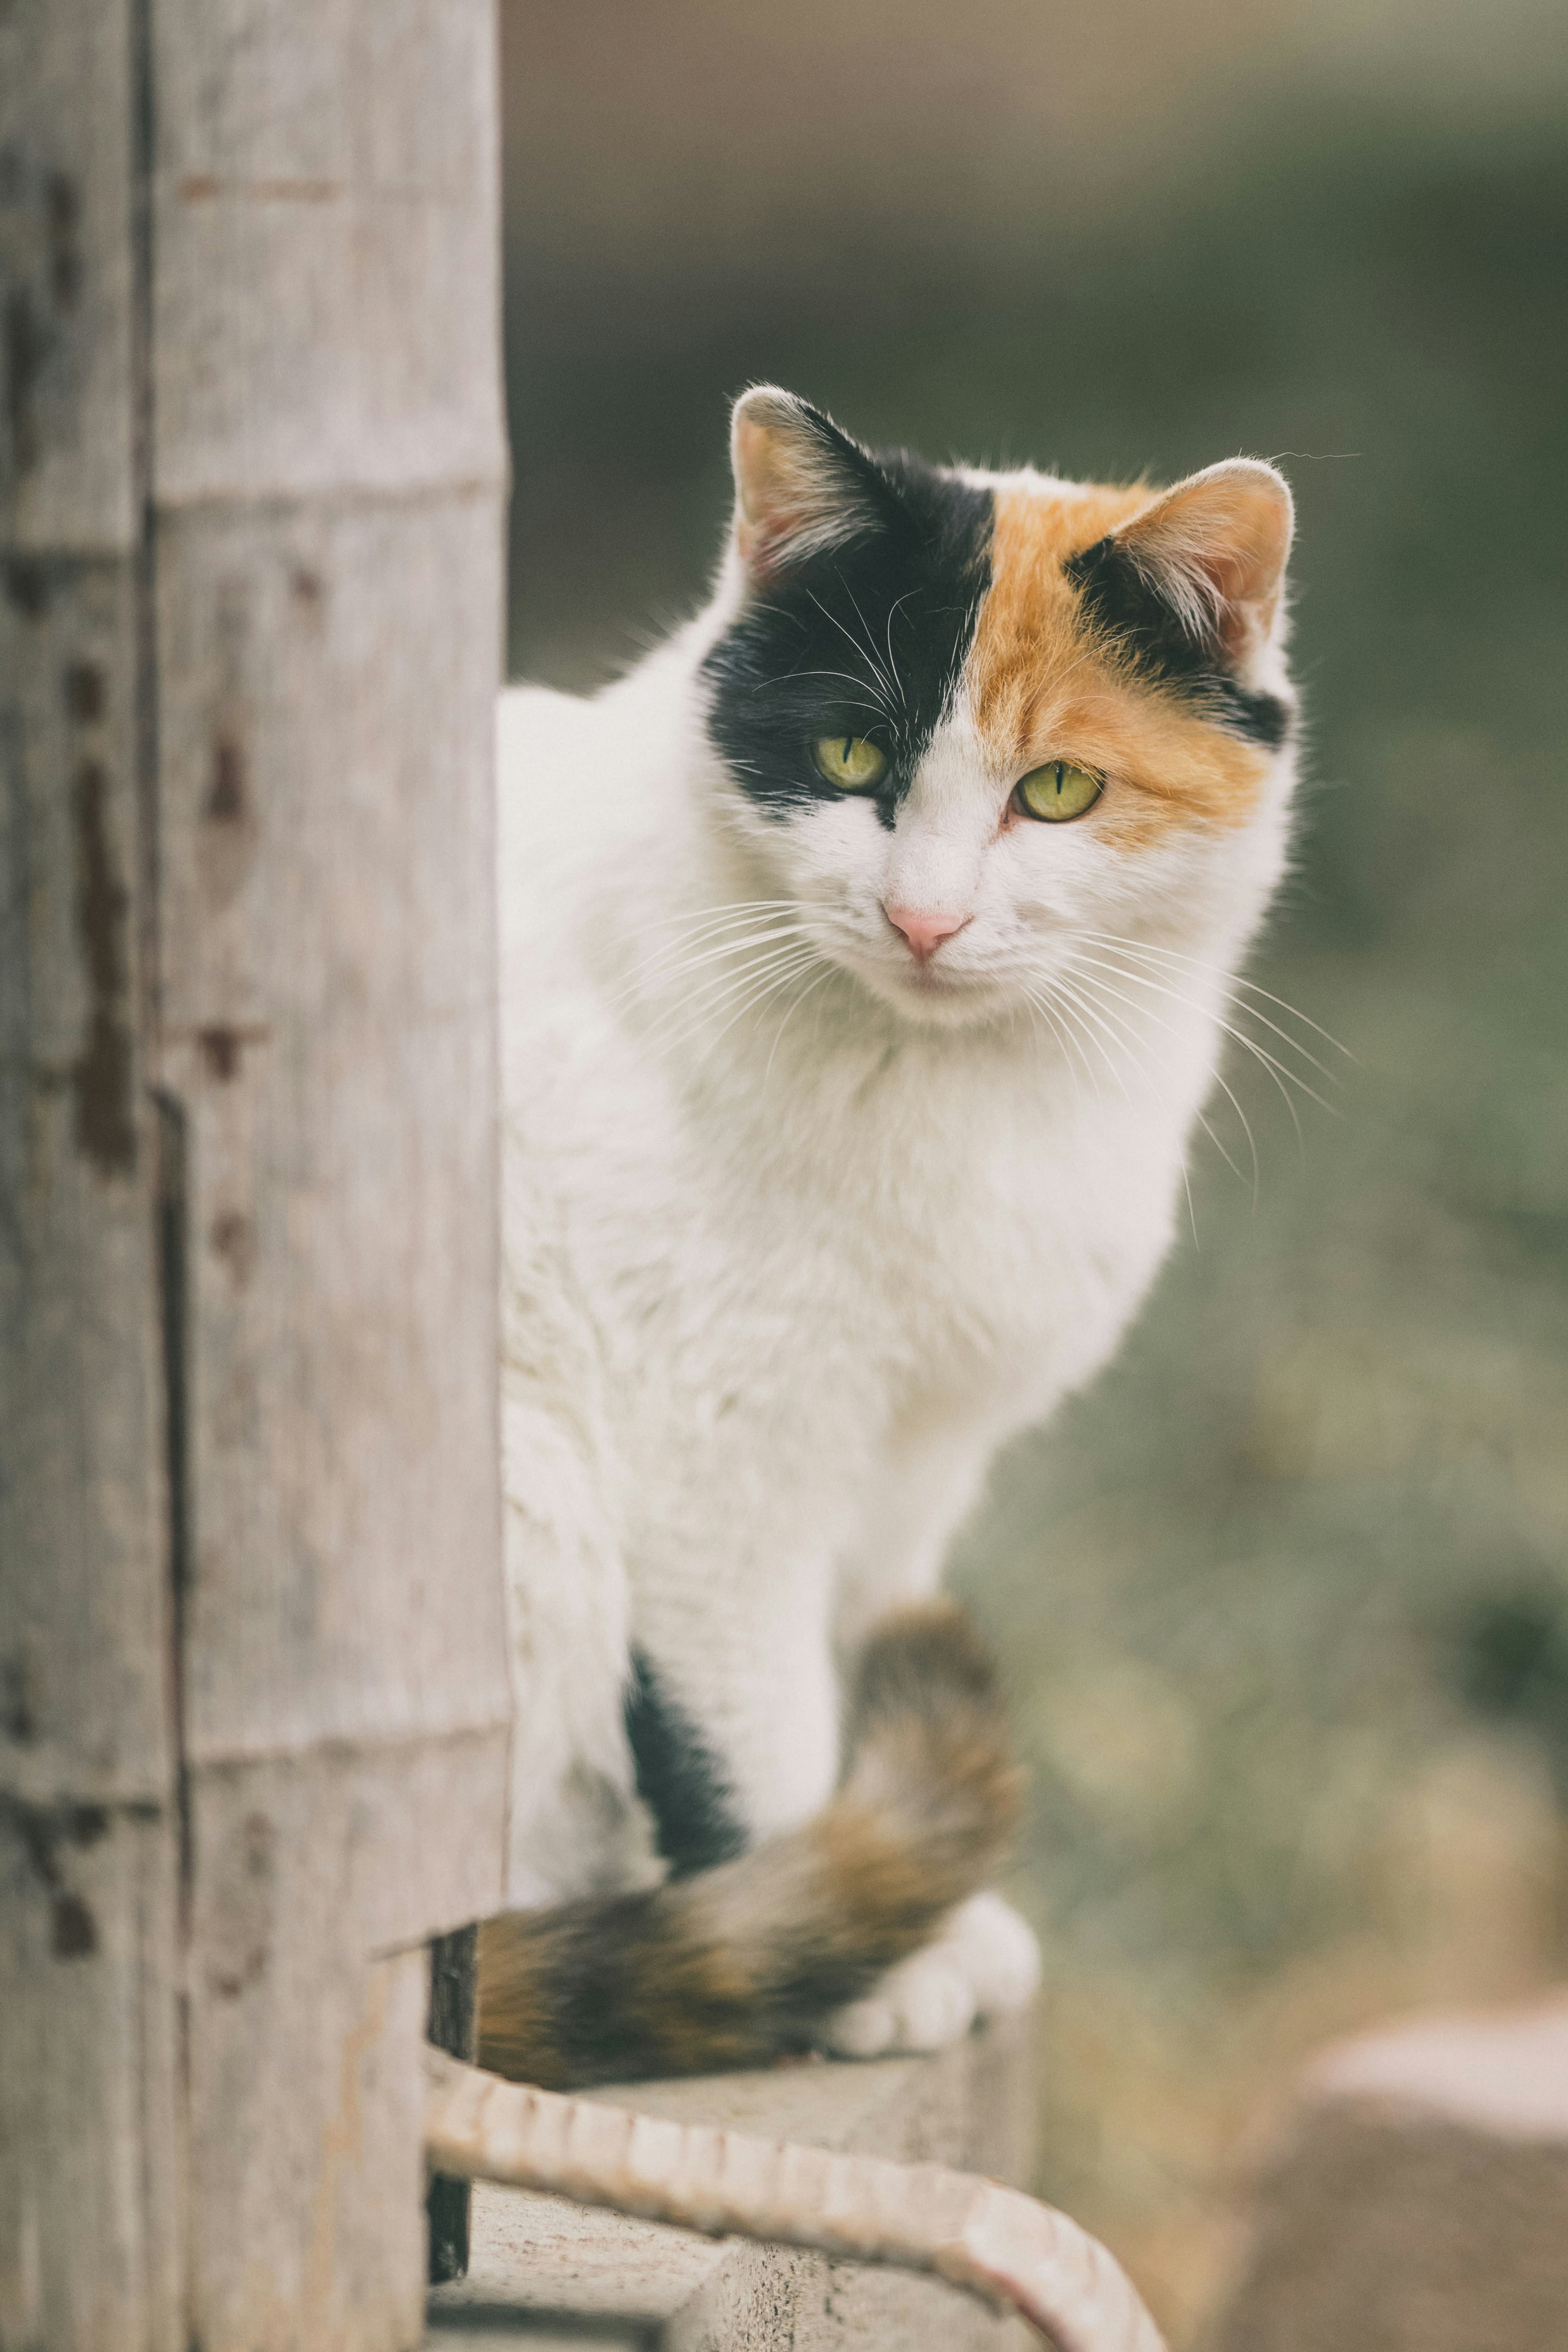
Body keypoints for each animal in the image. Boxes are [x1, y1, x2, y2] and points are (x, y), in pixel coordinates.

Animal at [482, 390, 1297, 2098]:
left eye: (1057, 791)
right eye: (849, 753)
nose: (923, 920)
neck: (952, 1091)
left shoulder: (913, 1461)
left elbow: (861, 1643)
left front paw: (898, 1902)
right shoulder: (712, 1456)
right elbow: (756, 1722)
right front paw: (846, 1954)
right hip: (531, 1484)